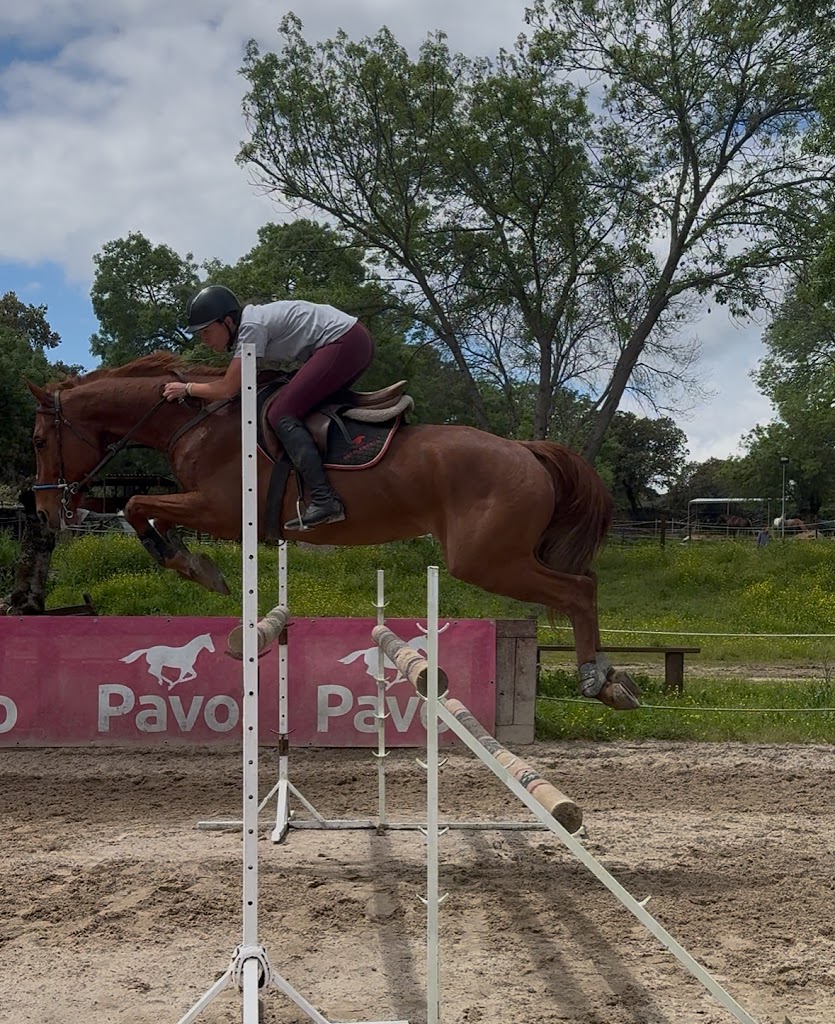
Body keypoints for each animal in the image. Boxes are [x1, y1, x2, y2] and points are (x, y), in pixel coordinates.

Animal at [26, 353, 639, 711]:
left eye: (36, 440)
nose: (47, 513)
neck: (195, 421)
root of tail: (526, 450)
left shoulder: (220, 511)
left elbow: (137, 505)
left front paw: (192, 566)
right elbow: (143, 509)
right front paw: (190, 562)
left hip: (488, 560)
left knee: (579, 589)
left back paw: (598, 680)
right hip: (500, 557)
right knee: (582, 584)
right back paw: (607, 680)